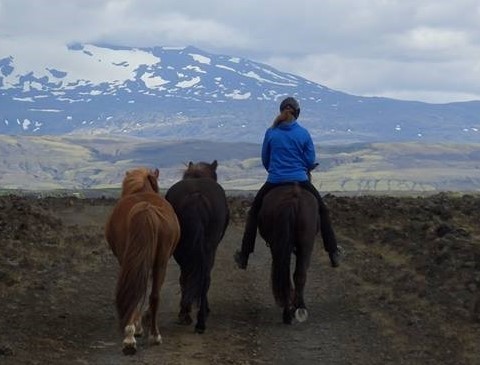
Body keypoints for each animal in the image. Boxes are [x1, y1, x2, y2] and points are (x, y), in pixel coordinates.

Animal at [105, 167, 180, 352]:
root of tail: (145, 208)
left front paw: (136, 328)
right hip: (160, 262)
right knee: (154, 295)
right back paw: (153, 335)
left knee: (139, 292)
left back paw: (130, 337)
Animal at [166, 161, 230, 332]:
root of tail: (196, 196)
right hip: (205, 249)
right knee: (201, 278)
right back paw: (197, 319)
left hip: (185, 249)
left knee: (191, 277)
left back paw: (191, 317)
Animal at [256, 183, 320, 322]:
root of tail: (293, 198)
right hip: (306, 245)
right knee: (299, 274)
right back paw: (298, 308)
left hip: (280, 244)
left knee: (285, 274)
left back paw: (288, 311)